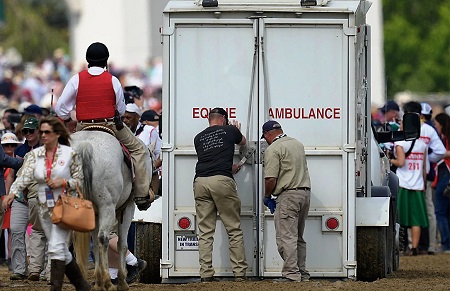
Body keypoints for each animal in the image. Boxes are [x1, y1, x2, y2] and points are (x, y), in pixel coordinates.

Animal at [71, 131, 152, 290]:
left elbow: (95, 245)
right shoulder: (127, 208)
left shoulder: (95, 214)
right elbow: (122, 243)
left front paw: (98, 282)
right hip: (107, 207)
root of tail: (85, 145)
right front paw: (121, 281)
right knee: (104, 238)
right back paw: (109, 282)